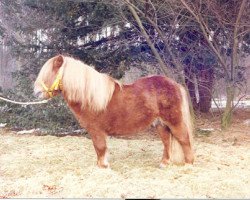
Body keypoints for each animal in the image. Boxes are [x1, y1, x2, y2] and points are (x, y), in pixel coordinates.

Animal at [34, 55, 194, 169]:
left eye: (50, 73)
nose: (36, 92)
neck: (90, 97)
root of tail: (175, 84)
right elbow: (98, 149)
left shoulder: (96, 130)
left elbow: (100, 147)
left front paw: (103, 167)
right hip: (160, 124)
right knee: (167, 142)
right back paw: (164, 163)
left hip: (174, 121)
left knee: (184, 139)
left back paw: (188, 164)